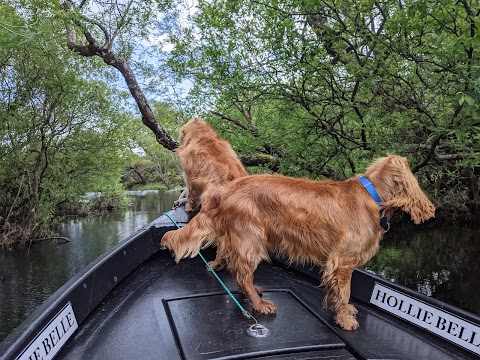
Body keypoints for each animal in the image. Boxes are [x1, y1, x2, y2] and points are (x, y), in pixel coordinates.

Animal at [161, 155, 436, 330]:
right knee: (241, 274)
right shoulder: (343, 262)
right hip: (252, 239)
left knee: (235, 268)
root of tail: (224, 190)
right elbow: (345, 292)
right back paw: (259, 304)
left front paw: (344, 311)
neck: (373, 196)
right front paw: (345, 319)